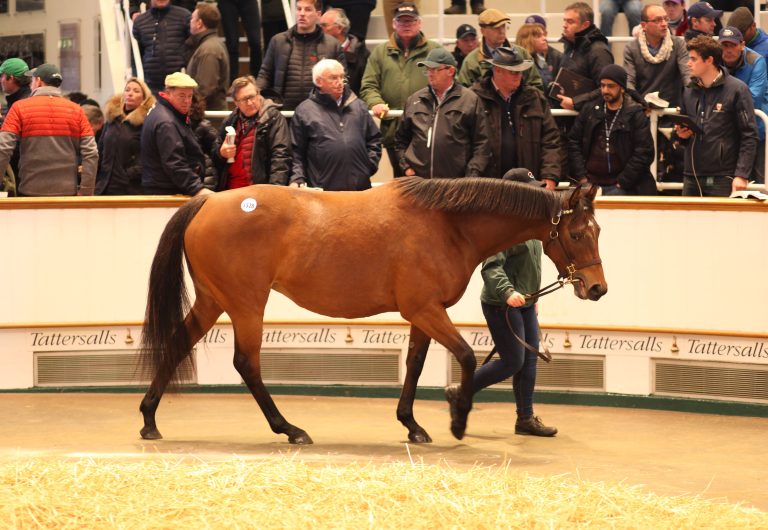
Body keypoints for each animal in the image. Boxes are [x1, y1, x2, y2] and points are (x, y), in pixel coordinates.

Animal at [139, 177, 607, 444]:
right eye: (578, 233)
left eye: (597, 230)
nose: (597, 288)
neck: (447, 224)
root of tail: (208, 200)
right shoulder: (426, 310)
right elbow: (467, 357)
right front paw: (458, 418)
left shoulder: (423, 313)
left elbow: (415, 365)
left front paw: (412, 425)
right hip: (246, 304)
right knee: (246, 364)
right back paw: (290, 430)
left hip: (213, 300)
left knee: (178, 344)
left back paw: (149, 418)